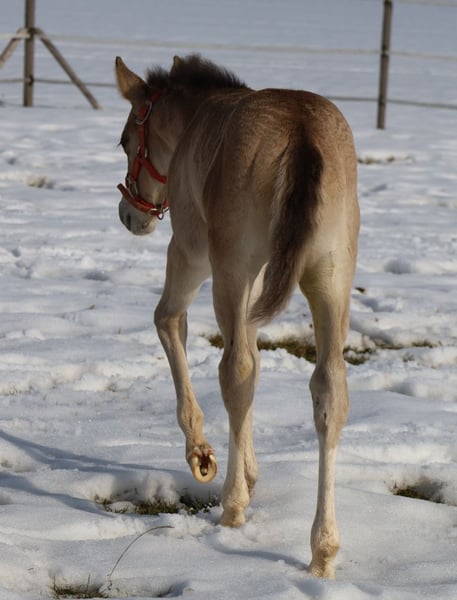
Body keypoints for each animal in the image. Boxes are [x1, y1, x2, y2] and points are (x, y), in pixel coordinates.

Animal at [115, 54, 359, 578]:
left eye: (126, 140)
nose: (130, 215)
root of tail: (302, 131)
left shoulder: (190, 252)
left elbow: (168, 321)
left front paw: (203, 455)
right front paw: (247, 469)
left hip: (229, 268)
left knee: (235, 370)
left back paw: (231, 508)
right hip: (330, 280)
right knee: (328, 390)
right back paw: (323, 550)